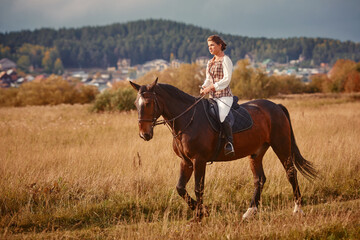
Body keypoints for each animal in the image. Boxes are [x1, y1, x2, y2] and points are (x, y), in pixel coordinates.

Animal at [131, 78, 316, 219]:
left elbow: (198, 188)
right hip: (256, 153)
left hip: (281, 145)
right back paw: (250, 212)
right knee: (259, 179)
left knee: (291, 172)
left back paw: (298, 209)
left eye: (148, 103)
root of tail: (276, 106)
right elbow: (180, 188)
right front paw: (202, 211)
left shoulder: (199, 160)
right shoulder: (186, 161)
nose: (144, 134)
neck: (188, 119)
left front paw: (199, 215)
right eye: (135, 104)